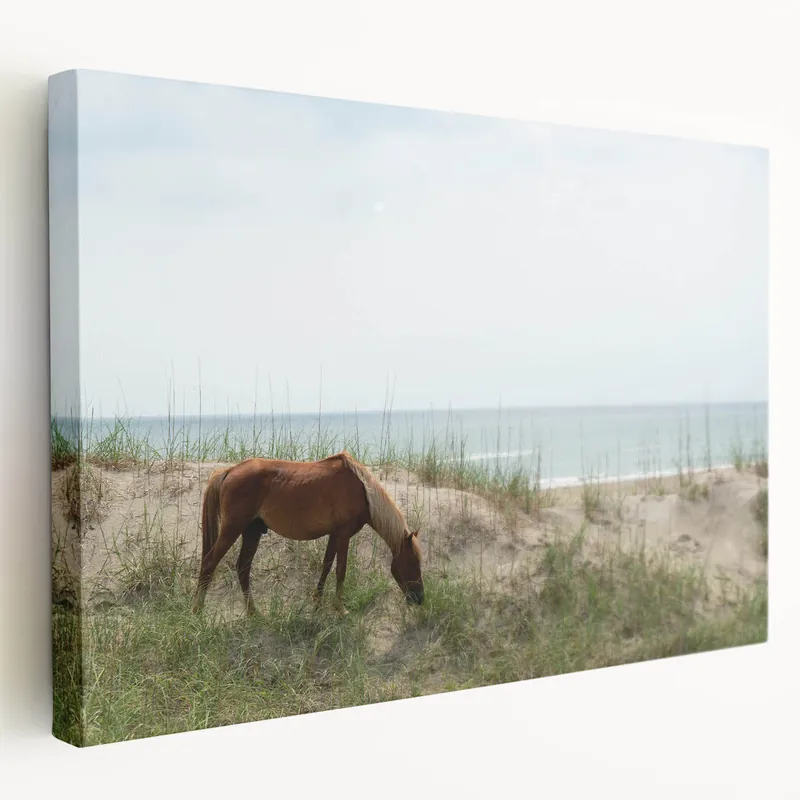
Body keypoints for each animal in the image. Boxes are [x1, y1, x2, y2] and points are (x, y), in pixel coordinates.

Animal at [191, 451, 424, 616]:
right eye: (413, 563)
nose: (420, 598)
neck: (363, 491)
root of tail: (229, 471)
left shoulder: (334, 535)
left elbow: (327, 565)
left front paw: (318, 601)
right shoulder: (344, 535)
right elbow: (341, 570)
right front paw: (340, 608)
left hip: (252, 531)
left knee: (242, 569)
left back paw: (253, 613)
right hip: (232, 528)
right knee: (210, 562)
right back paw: (197, 611)